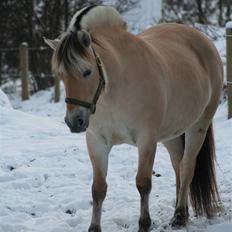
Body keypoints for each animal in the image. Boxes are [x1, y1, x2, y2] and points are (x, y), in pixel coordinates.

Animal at [43, 5, 223, 232]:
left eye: (87, 72)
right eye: (61, 75)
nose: (74, 122)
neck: (115, 87)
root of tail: (204, 40)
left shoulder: (146, 140)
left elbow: (143, 183)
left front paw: (144, 224)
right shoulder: (97, 142)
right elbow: (98, 189)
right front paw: (94, 227)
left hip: (198, 125)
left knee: (187, 166)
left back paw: (180, 215)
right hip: (171, 133)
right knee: (177, 165)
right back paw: (180, 210)